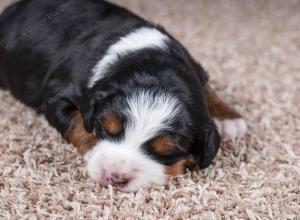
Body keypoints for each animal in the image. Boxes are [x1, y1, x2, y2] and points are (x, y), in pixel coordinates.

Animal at [0, 0, 247, 192]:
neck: (152, 59)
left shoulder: (194, 67)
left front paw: (229, 117)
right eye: (106, 129)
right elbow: (78, 123)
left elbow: (207, 89)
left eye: (167, 152)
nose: (114, 177)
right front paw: (93, 150)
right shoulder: (56, 95)